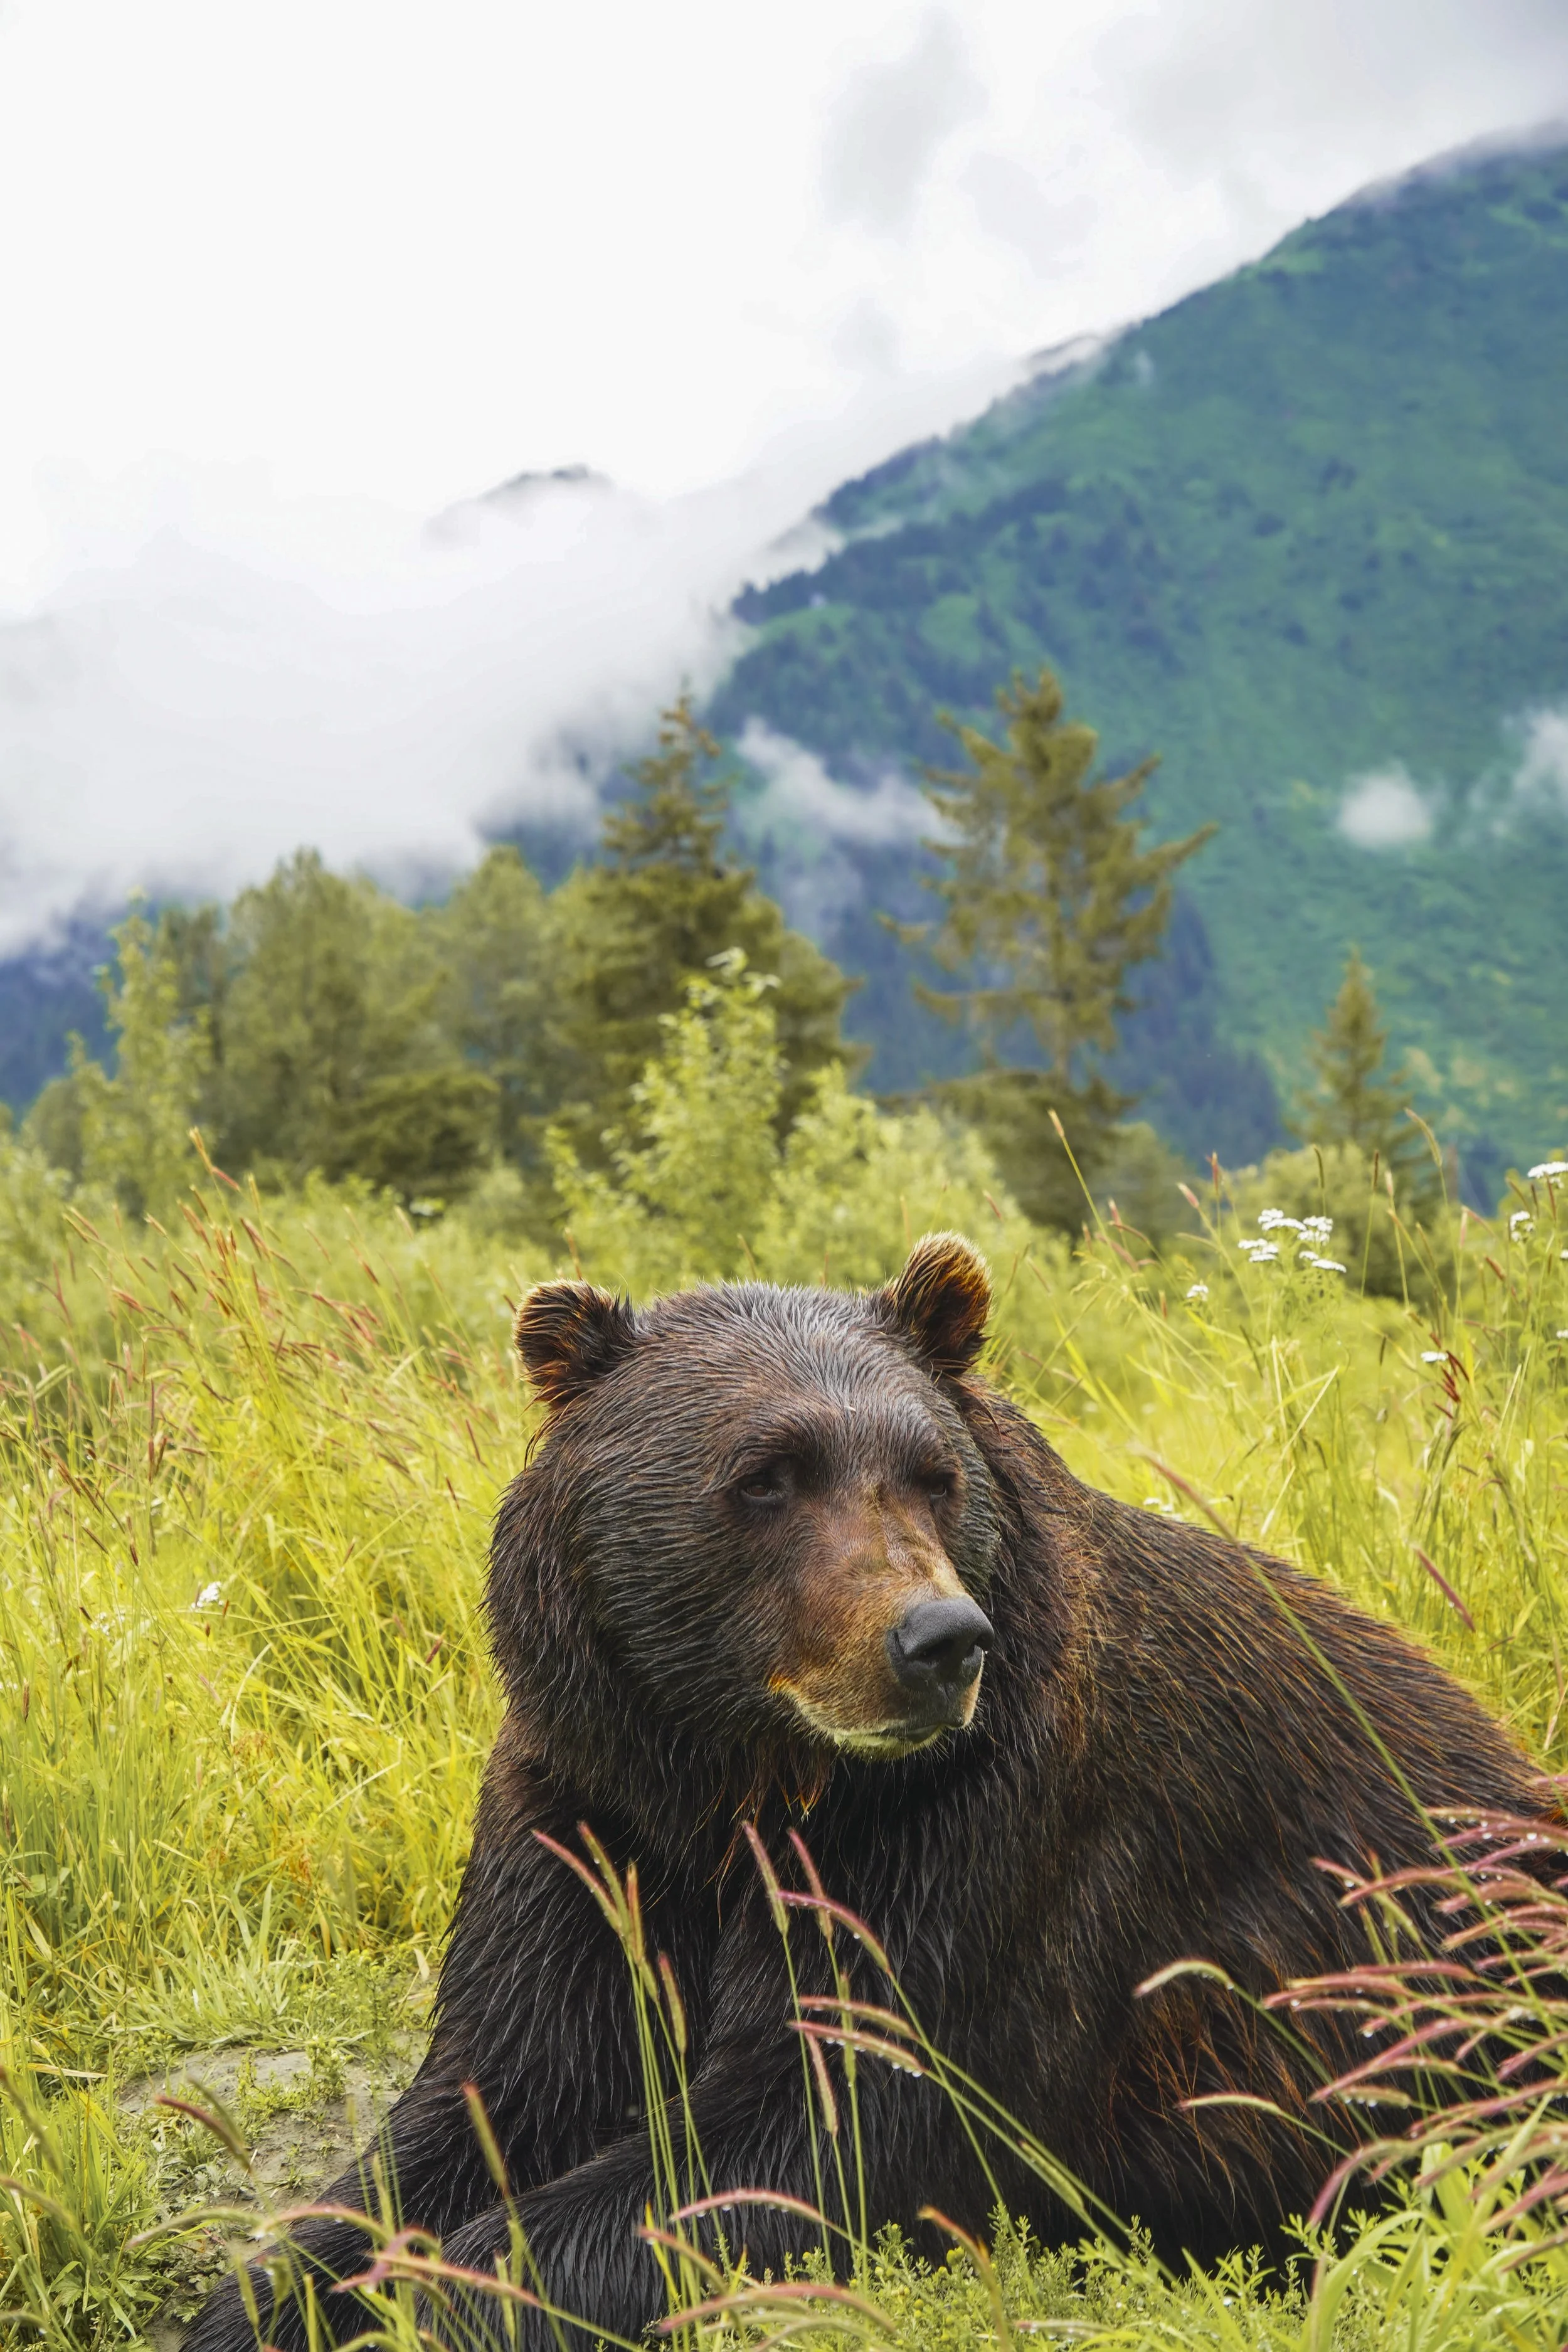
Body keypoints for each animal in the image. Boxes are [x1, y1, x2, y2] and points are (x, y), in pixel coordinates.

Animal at [188, 1233, 1548, 2351]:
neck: (739, 1776)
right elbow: (493, 2095)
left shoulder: (979, 1837)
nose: (938, 1640)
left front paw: (439, 2301)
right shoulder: (590, 1813)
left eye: (931, 1472)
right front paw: (271, 2296)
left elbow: (823, 2124)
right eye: (765, 1474)